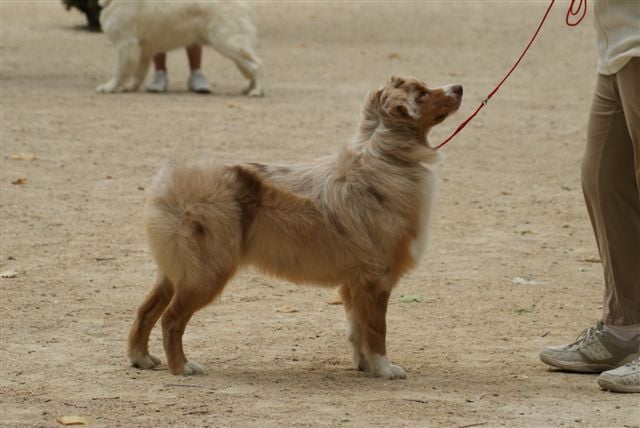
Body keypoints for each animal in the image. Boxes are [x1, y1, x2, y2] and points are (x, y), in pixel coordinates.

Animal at [95, 0, 264, 96]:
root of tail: (243, 5)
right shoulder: (142, 49)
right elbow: (138, 74)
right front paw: (130, 87)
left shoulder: (126, 44)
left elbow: (119, 71)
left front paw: (109, 87)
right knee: (250, 66)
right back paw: (249, 88)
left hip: (227, 43)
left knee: (257, 65)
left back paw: (257, 91)